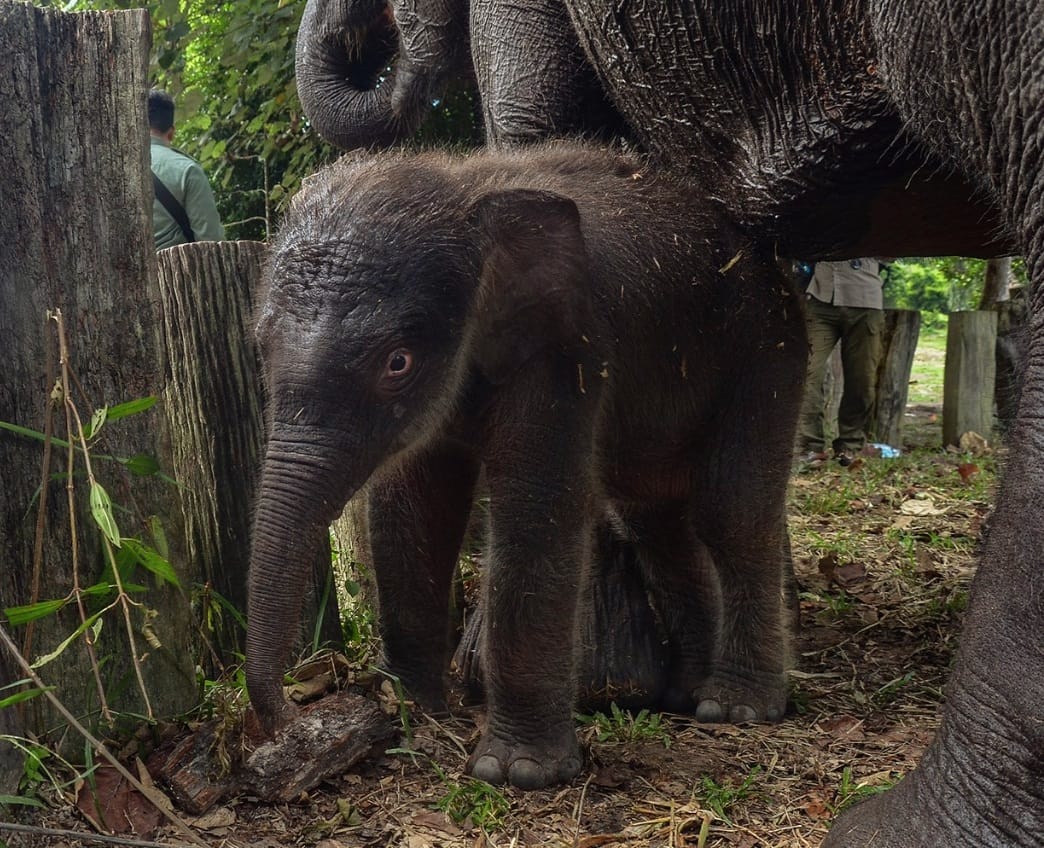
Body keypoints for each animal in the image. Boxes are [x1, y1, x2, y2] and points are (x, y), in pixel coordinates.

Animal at [246, 144, 805, 789]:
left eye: (397, 362)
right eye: (260, 348)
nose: (289, 717)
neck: (463, 188)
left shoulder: (567, 347)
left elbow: (536, 509)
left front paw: (517, 771)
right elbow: (415, 508)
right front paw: (408, 706)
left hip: (767, 348)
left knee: (730, 512)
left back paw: (736, 707)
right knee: (655, 520)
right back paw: (688, 696)